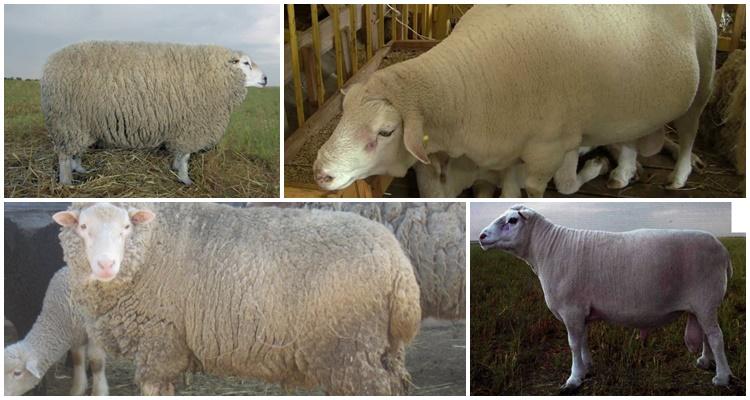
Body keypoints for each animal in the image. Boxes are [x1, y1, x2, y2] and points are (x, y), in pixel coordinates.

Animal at [4, 267, 108, 396]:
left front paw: (99, 393)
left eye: (17, 373)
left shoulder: (95, 333)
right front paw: (77, 390)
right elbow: (77, 360)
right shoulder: (76, 334)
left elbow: (96, 362)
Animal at [41, 41, 268, 186]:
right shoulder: (192, 125)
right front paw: (185, 178)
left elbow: (180, 154)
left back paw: (78, 168)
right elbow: (186, 156)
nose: (266, 79)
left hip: (80, 122)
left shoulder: (182, 125)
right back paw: (67, 182)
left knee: (74, 151)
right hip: (67, 119)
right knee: (63, 156)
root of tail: (50, 62)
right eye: (246, 63)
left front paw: (176, 167)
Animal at [52, 202, 421, 395]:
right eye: (82, 227)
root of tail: (398, 261)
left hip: (350, 346)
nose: (105, 265)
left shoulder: (160, 342)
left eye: (126, 228)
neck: (151, 247)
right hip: (383, 347)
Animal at [313, 5, 716, 197]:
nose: (320, 173)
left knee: (690, 130)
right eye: (343, 113)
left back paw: (679, 174)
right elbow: (506, 185)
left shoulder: (547, 148)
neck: (465, 85)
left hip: (704, 77)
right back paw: (623, 172)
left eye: (385, 132)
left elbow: (536, 190)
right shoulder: (508, 143)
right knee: (632, 137)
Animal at [477, 205, 734, 393]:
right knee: (707, 334)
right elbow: (583, 340)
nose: (481, 236)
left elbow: (573, 344)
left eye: (513, 220)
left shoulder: (571, 309)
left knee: (716, 336)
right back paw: (705, 362)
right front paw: (586, 368)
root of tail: (723, 250)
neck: (546, 250)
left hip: (706, 299)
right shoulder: (581, 310)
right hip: (700, 306)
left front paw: (573, 379)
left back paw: (722, 377)